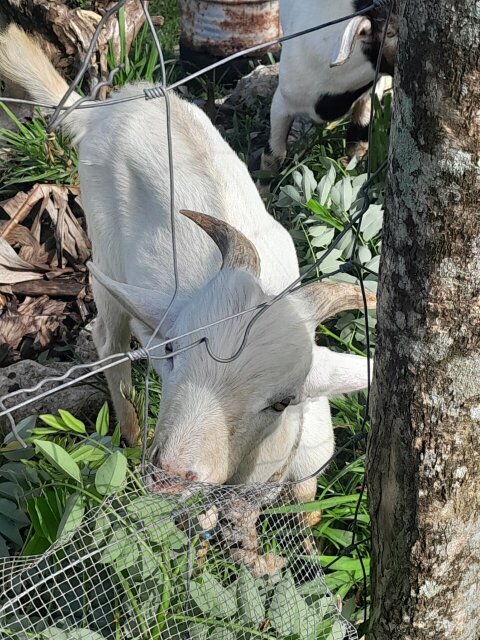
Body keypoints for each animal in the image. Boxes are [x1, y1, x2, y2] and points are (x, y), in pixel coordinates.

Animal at [0, 24, 375, 506]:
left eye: (282, 401)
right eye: (172, 352)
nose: (170, 475)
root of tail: (105, 108)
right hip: (104, 248)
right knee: (108, 337)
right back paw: (133, 434)